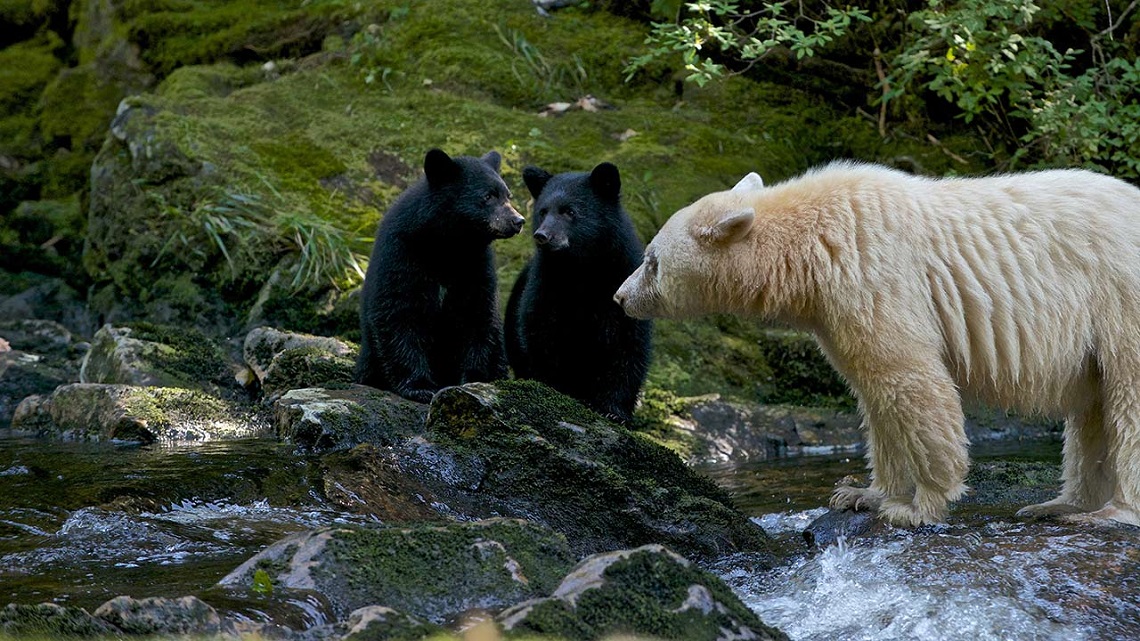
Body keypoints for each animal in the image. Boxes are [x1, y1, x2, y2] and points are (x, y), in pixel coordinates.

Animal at [355, 147, 524, 401]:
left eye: (508, 195)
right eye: (487, 196)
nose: (518, 221)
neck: (447, 245)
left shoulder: (476, 265)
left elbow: (478, 316)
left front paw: (473, 379)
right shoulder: (401, 255)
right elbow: (398, 313)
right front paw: (420, 386)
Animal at [506, 159, 656, 422]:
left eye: (569, 211)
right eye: (543, 211)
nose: (542, 235)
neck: (582, 268)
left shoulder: (621, 280)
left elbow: (629, 343)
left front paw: (614, 410)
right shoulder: (547, 283)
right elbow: (541, 330)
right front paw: (555, 388)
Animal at [620, 163, 1140, 524]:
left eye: (651, 260)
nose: (620, 296)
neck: (813, 242)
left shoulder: (872, 275)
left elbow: (911, 378)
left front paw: (920, 506)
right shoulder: (837, 310)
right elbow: (875, 393)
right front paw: (861, 495)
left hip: (1119, 294)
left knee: (1127, 398)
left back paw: (1110, 512)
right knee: (1093, 411)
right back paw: (1059, 505)